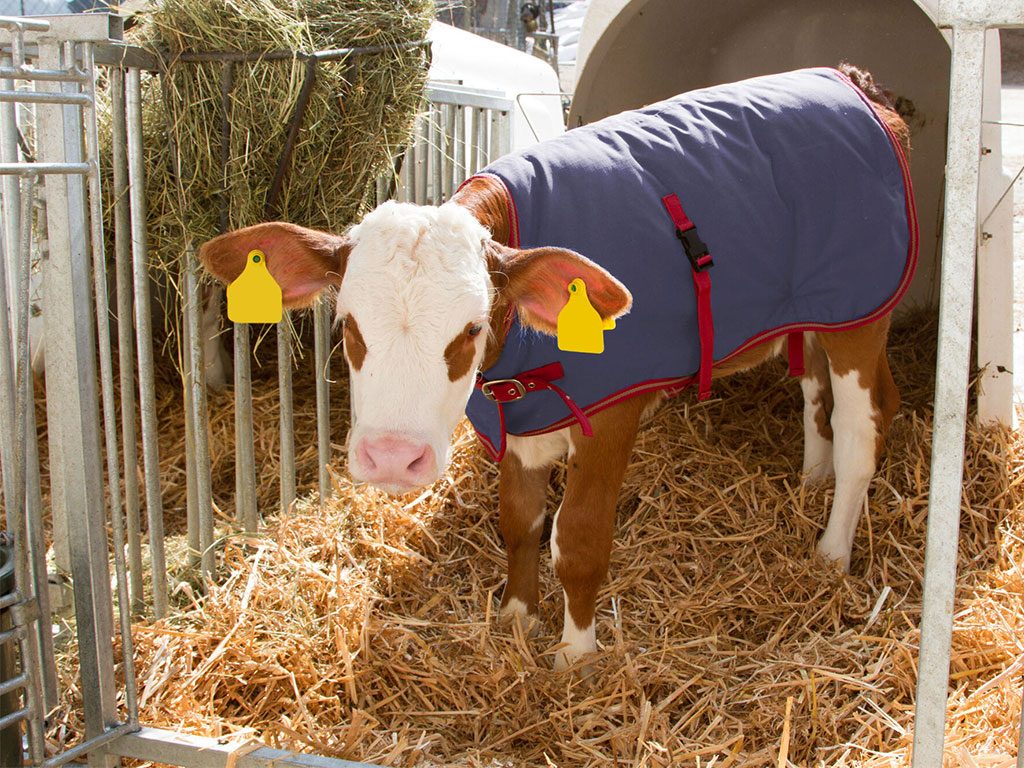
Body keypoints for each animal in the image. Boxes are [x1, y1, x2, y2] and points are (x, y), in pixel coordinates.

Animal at [200, 64, 916, 670]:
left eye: (471, 328)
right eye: (347, 324)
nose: (392, 459)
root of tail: (852, 80)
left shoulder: (610, 411)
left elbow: (577, 538)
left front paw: (575, 654)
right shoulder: (522, 411)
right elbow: (519, 522)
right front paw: (517, 614)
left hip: (860, 309)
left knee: (865, 424)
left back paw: (831, 550)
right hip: (816, 306)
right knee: (815, 387)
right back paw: (814, 476)